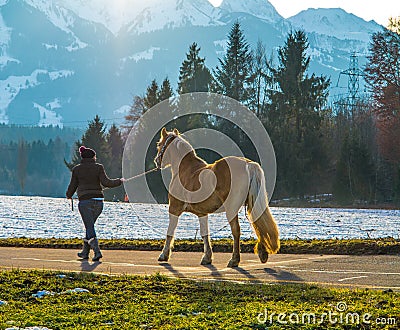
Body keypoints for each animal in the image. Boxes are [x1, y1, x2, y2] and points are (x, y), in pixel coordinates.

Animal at [155, 127, 280, 266]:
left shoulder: (174, 209)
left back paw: (234, 260)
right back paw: (262, 253)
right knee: (260, 223)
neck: (184, 171)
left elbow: (170, 232)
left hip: (231, 209)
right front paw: (207, 257)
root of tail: (248, 164)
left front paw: (164, 255)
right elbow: (205, 234)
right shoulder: (202, 213)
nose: (157, 161)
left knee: (236, 231)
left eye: (159, 144)